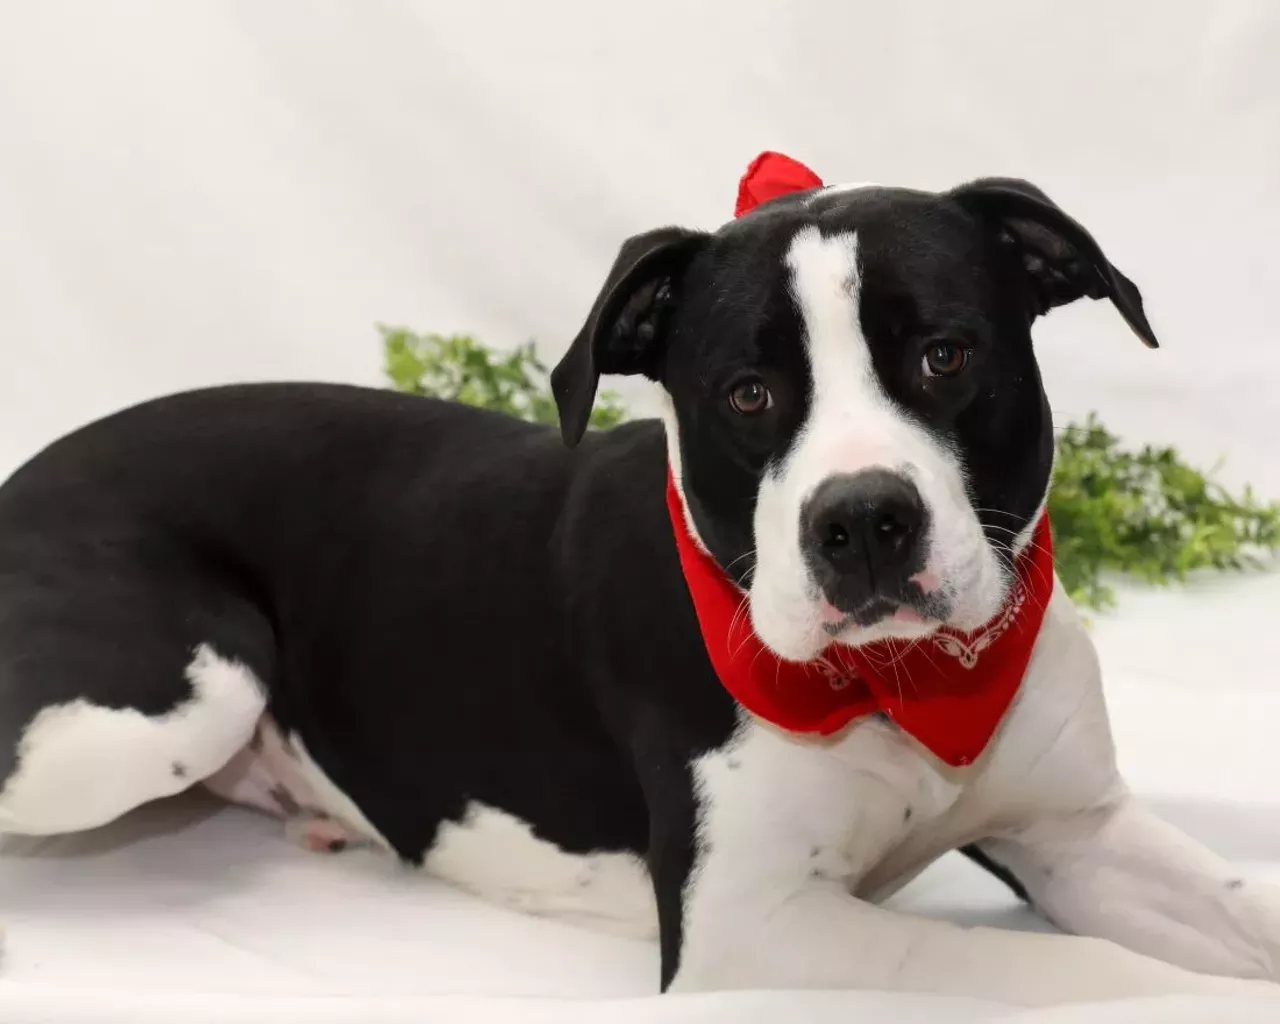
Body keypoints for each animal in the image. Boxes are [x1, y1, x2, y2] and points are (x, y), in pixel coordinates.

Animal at [2, 160, 1280, 1008]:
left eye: (945, 355)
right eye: (747, 393)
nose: (861, 522)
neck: (902, 684)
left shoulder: (1072, 833)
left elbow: (1234, 908)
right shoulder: (746, 931)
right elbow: (1067, 965)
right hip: (175, 700)